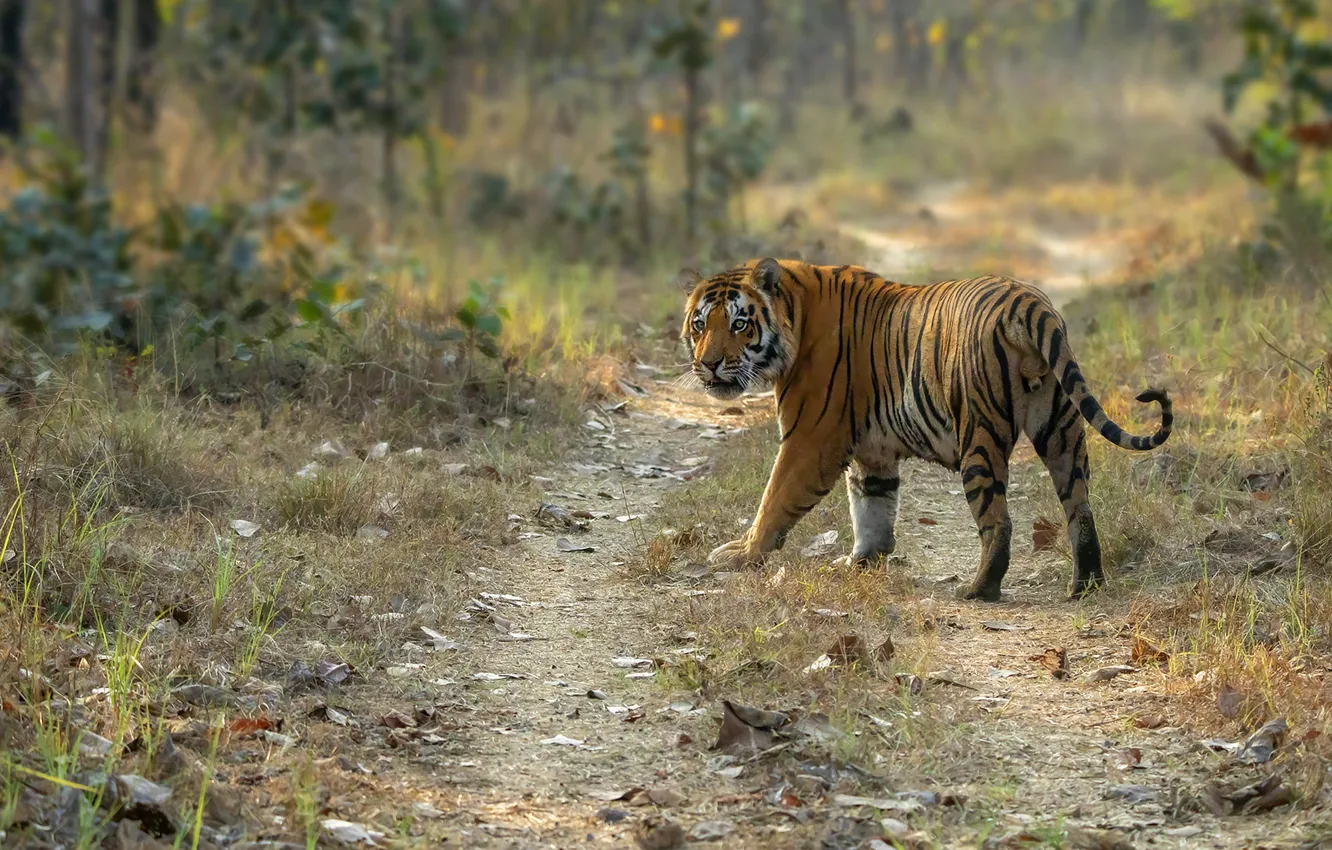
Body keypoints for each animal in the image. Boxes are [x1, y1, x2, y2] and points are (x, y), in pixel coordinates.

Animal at [678, 258, 1173, 601]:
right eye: (699, 325)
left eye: (739, 323)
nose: (708, 364)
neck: (795, 314)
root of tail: (1027, 301)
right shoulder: (871, 452)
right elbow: (871, 507)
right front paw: (859, 563)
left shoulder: (810, 440)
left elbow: (774, 500)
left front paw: (741, 555)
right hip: (1061, 428)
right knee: (1080, 508)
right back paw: (1084, 585)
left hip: (979, 435)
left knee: (998, 521)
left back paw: (978, 590)